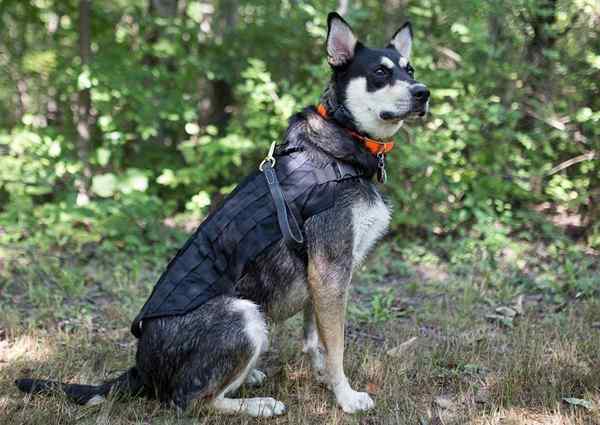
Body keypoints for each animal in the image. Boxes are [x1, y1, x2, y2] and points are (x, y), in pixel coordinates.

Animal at [14, 11, 426, 416]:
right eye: (380, 72)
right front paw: (346, 398)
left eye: (410, 70)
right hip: (244, 316)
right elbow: (336, 345)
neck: (341, 144)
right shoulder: (329, 270)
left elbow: (318, 342)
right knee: (190, 401)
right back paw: (257, 404)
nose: (424, 93)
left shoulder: (323, 277)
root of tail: (140, 370)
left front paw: (326, 381)